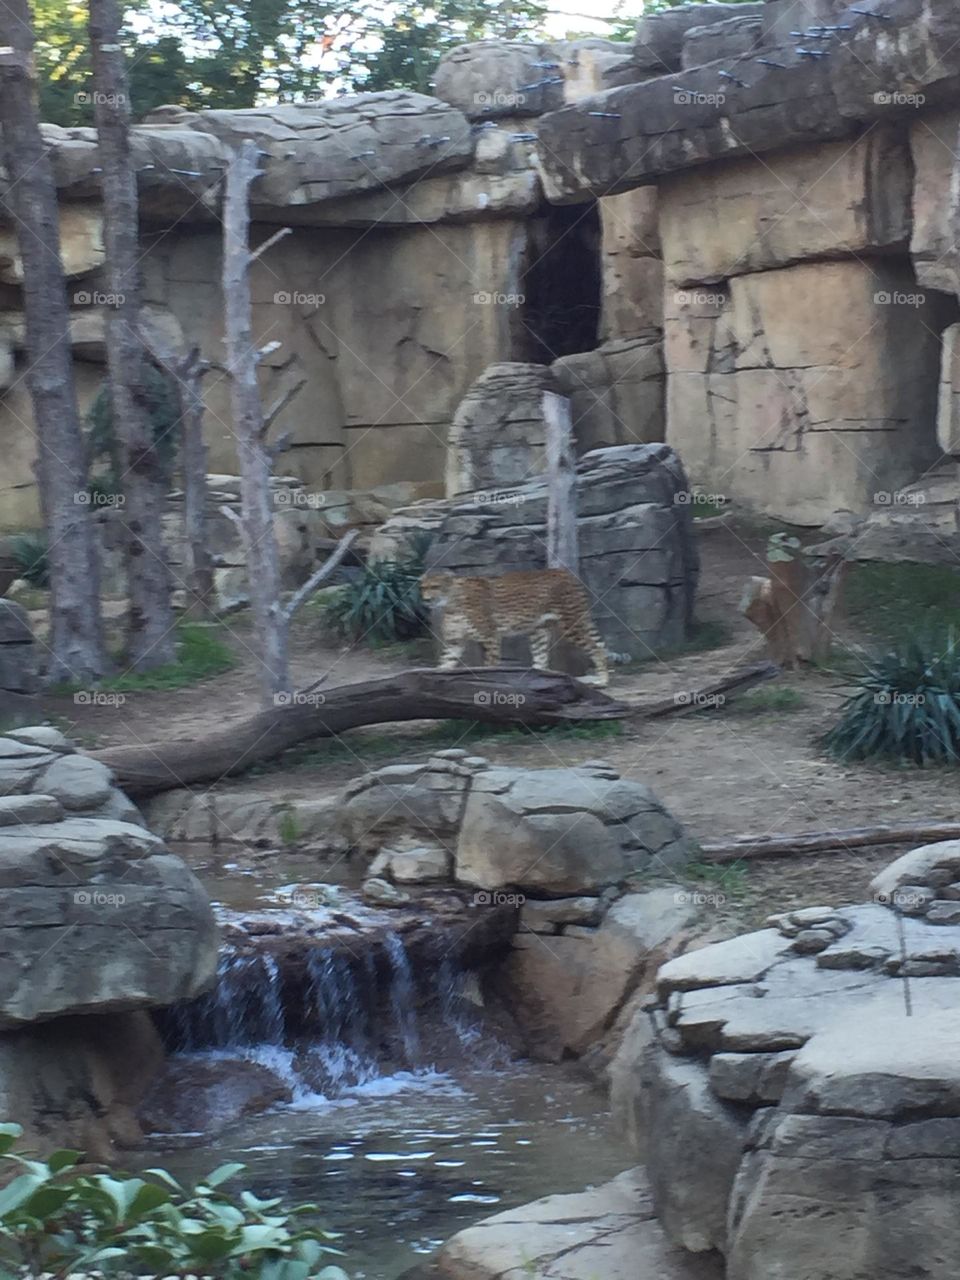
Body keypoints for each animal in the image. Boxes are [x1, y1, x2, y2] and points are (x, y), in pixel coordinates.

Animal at [419, 567, 609, 686]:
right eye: (423, 588)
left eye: (435, 586)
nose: (426, 600)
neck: (451, 600)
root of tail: (565, 572)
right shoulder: (455, 641)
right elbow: (445, 662)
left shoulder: (491, 636)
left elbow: (490, 665)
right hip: (538, 630)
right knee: (541, 657)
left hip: (571, 624)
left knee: (596, 648)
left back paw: (603, 681)